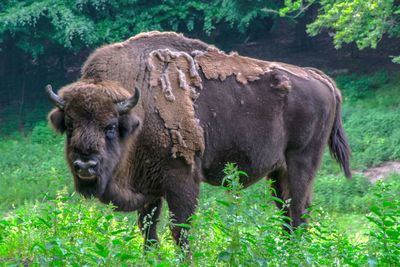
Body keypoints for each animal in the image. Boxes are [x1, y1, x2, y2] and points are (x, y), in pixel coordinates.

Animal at [47, 31, 350, 251]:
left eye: (110, 127)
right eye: (70, 125)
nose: (85, 166)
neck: (138, 113)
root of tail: (320, 78)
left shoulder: (181, 179)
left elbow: (180, 231)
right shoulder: (148, 188)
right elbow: (148, 231)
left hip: (301, 161)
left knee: (298, 210)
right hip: (278, 171)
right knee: (287, 213)